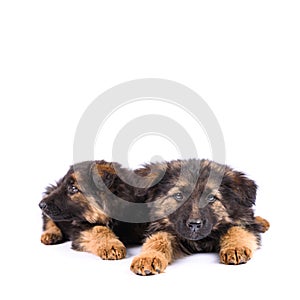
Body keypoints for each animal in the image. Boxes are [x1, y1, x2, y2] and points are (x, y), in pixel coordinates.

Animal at [131, 159, 270, 274]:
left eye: (211, 198)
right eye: (178, 195)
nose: (194, 225)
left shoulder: (243, 219)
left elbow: (237, 230)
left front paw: (235, 248)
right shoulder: (164, 227)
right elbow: (157, 240)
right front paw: (149, 257)